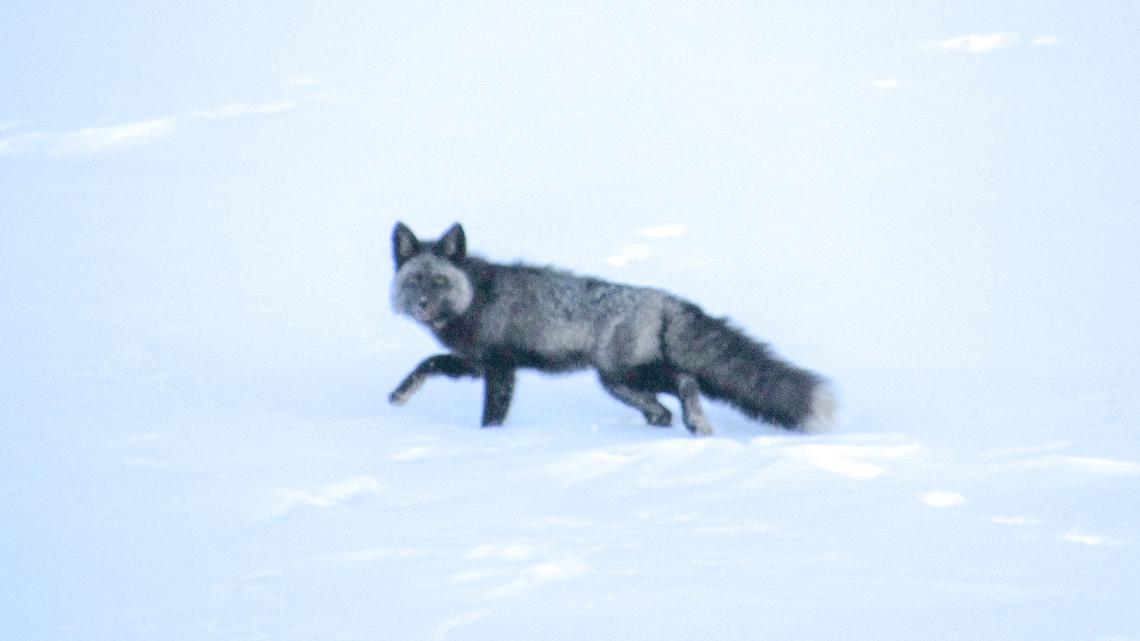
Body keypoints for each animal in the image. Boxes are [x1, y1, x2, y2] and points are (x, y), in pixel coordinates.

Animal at [388, 222, 834, 436]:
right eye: (415, 281)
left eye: (439, 281)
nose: (422, 305)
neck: (474, 298)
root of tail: (663, 298)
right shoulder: (475, 363)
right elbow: (429, 363)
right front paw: (399, 395)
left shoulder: (500, 368)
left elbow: (492, 414)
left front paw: (488, 441)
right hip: (618, 382)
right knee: (662, 410)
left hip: (626, 373)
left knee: (685, 381)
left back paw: (697, 424)